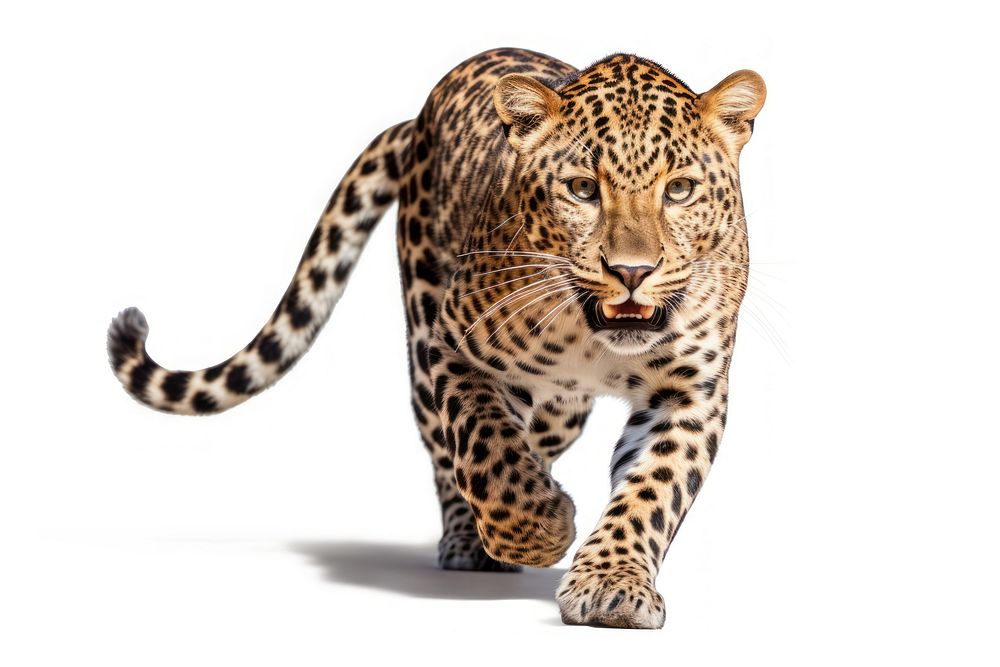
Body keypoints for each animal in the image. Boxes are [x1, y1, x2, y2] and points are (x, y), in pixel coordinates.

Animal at [107, 48, 765, 629]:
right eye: (582, 189)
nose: (632, 271)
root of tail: (420, 115)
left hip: (562, 407)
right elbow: (487, 453)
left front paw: (612, 587)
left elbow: (652, 488)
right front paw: (540, 528)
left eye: (678, 190)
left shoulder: (690, 391)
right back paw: (474, 540)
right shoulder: (456, 348)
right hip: (424, 332)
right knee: (450, 457)